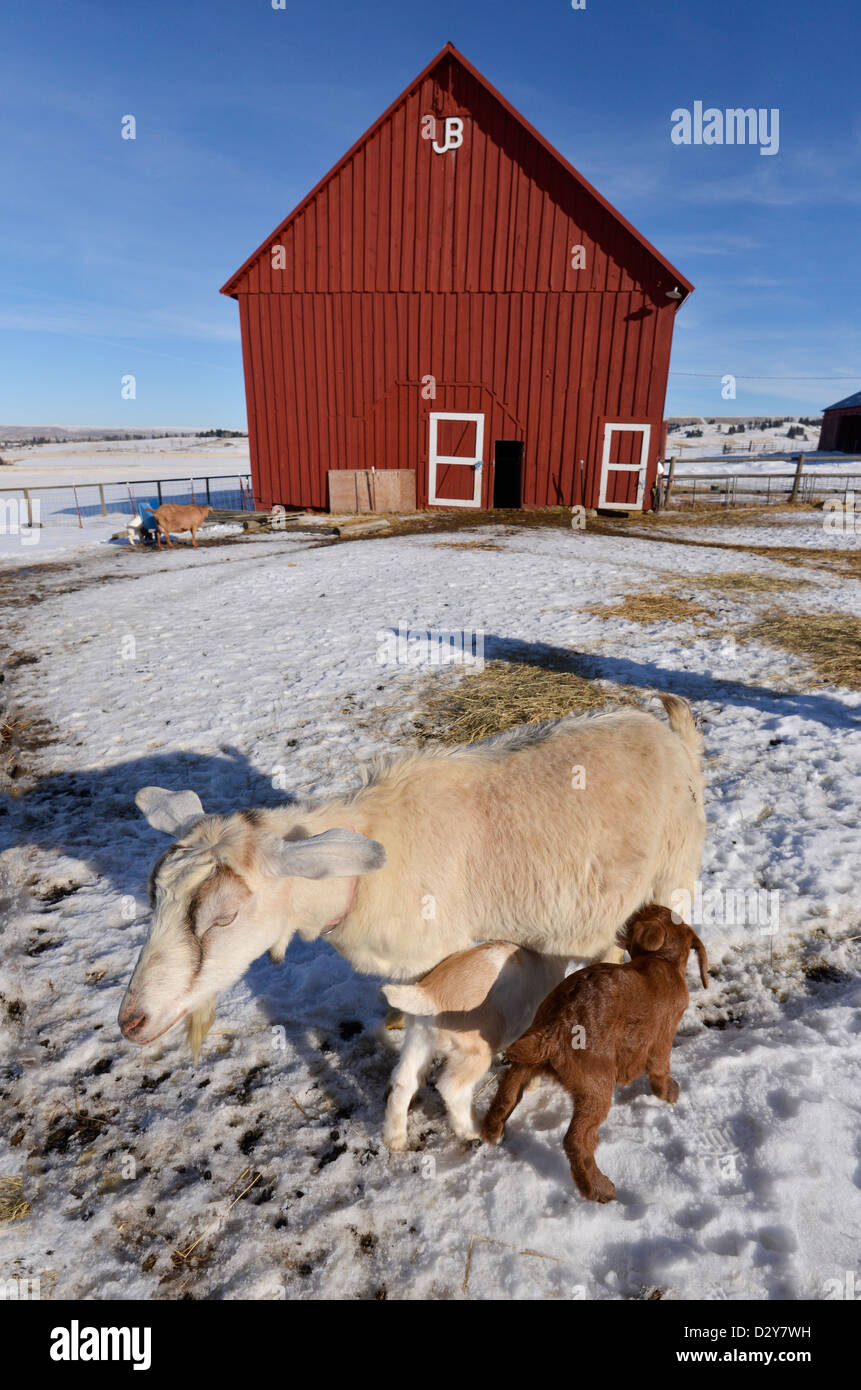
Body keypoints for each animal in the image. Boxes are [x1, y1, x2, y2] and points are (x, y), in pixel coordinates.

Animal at [118, 696, 705, 1060]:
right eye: (153, 896)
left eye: (226, 917)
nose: (131, 1021)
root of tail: (670, 733)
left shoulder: (437, 952)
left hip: (674, 869)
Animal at [382, 942, 570, 1148]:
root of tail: (429, 994)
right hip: (476, 1053)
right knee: (451, 1088)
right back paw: (472, 1130)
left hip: (418, 1040)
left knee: (403, 1081)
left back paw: (395, 1139)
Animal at [481, 904, 709, 1202]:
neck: (663, 960)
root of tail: (555, 1029)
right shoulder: (661, 1038)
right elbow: (660, 1070)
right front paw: (670, 1093)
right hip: (596, 1086)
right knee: (577, 1139)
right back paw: (598, 1188)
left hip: (529, 1061)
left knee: (507, 1092)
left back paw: (491, 1131)